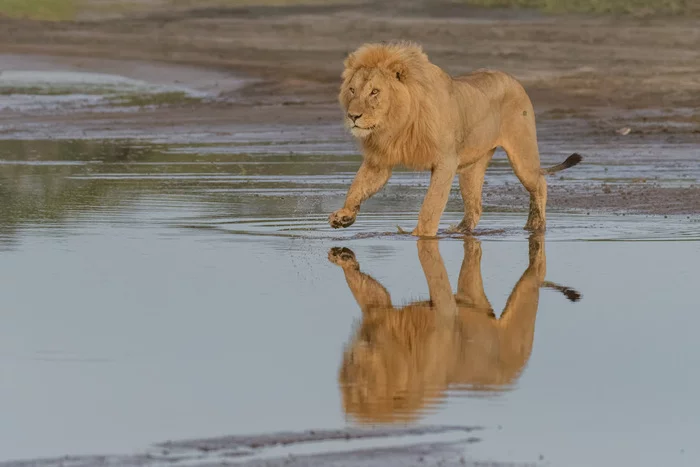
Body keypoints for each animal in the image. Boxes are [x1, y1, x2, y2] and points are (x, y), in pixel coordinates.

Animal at [330, 41, 584, 238]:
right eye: (352, 90)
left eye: (375, 92)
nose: (353, 116)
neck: (397, 123)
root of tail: (512, 78)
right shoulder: (380, 160)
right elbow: (357, 186)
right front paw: (344, 216)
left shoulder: (445, 161)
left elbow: (431, 205)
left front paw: (421, 236)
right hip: (471, 168)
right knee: (475, 207)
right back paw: (458, 231)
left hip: (522, 155)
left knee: (539, 183)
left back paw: (535, 225)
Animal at [330, 238, 584, 424]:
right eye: (348, 390)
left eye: (367, 390)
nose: (350, 367)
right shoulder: (379, 311)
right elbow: (369, 290)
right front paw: (343, 258)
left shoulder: (443, 314)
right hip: (474, 297)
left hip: (522, 309)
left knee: (534, 274)